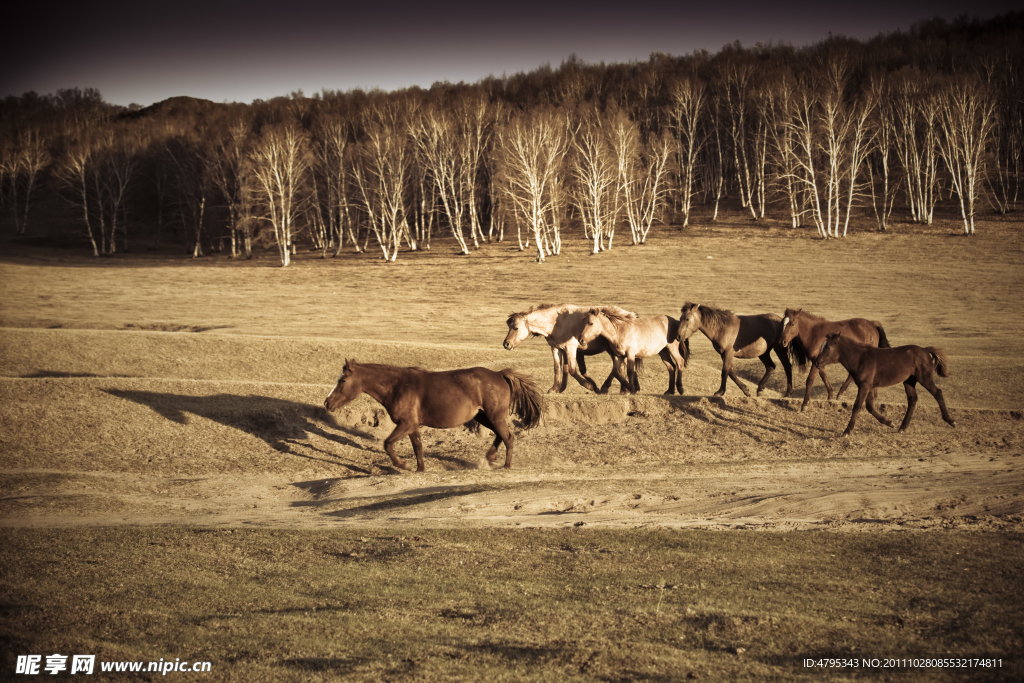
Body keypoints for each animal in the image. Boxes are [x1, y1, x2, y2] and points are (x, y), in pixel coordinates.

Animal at [325, 360, 544, 473]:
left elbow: (387, 444)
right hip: (483, 417)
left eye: (342, 380)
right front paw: (419, 469)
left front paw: (402, 465)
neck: (398, 386)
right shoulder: (412, 426)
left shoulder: (406, 424)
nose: (327, 403)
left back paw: (506, 465)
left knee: (508, 437)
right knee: (500, 436)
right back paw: (489, 458)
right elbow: (418, 448)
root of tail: (500, 374)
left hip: (494, 416)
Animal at [499, 305, 634, 395]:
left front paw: (589, 385)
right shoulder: (556, 348)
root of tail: (628, 314)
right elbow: (558, 368)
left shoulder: (571, 348)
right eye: (509, 326)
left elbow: (572, 370)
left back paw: (611, 388)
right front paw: (555, 388)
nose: (506, 344)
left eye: (516, 328)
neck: (556, 322)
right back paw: (620, 389)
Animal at [811, 331, 954, 438]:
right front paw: (889, 423)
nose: (817, 362)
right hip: (909, 381)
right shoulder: (869, 386)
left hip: (924, 378)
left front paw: (847, 431)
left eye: (828, 347)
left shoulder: (864, 386)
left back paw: (951, 421)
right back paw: (902, 428)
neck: (861, 358)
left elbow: (857, 406)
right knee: (912, 400)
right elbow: (869, 406)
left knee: (937, 393)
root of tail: (924, 350)